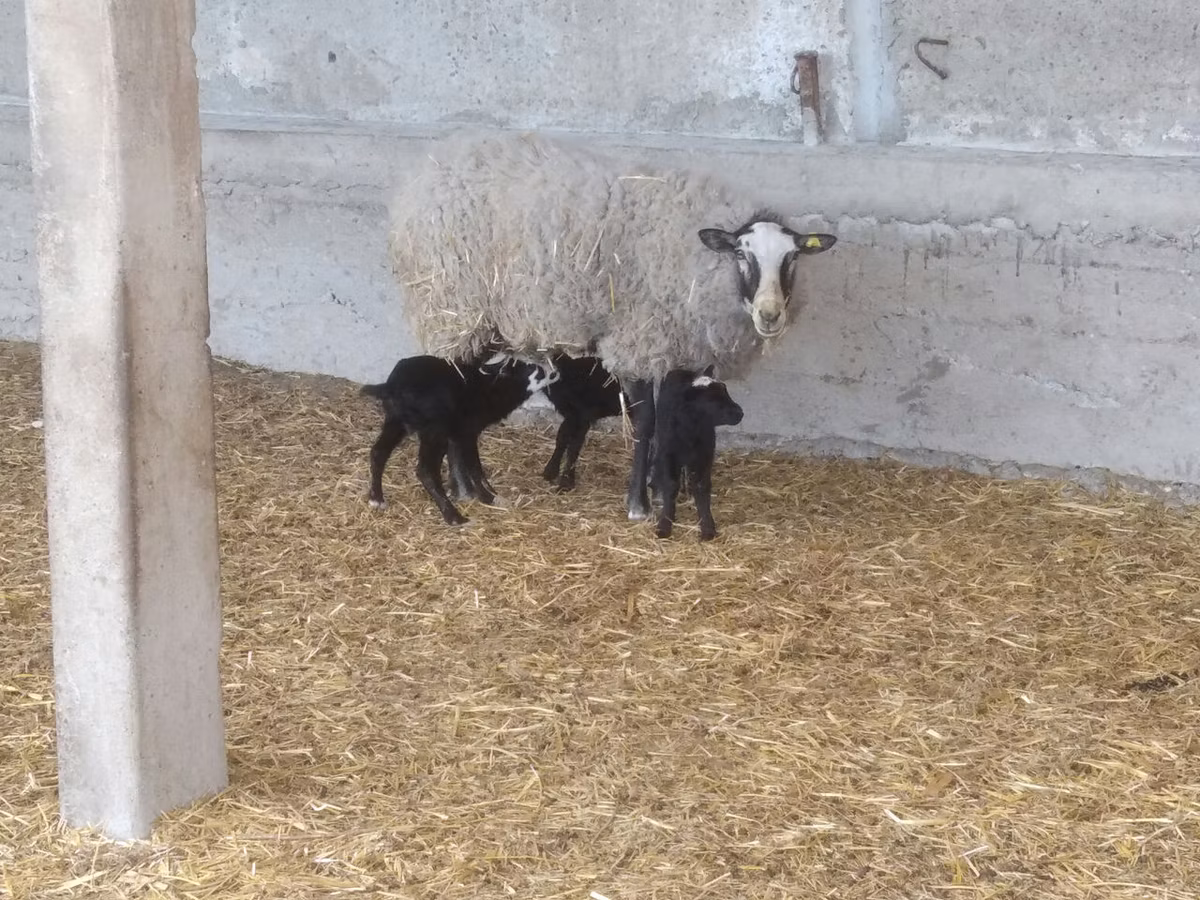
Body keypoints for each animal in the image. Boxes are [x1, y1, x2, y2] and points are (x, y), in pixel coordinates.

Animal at [360, 352, 558, 525]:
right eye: (533, 368)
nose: (555, 371)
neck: (488, 387)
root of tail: (391, 386)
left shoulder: (455, 435)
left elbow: (460, 463)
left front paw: (470, 493)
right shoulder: (466, 432)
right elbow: (474, 468)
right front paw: (489, 497)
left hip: (396, 420)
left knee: (378, 452)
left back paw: (377, 499)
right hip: (433, 430)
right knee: (426, 470)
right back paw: (454, 518)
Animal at [388, 129, 837, 521]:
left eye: (792, 258)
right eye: (742, 255)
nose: (770, 314)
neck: (695, 259)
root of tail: (435, 165)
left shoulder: (677, 349)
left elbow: (670, 414)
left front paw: (666, 485)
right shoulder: (637, 341)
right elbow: (646, 422)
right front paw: (639, 502)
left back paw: (468, 482)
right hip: (451, 310)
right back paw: (465, 486)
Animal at [652, 366, 744, 542]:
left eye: (725, 390)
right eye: (711, 400)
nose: (740, 413)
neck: (691, 429)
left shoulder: (705, 454)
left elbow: (701, 487)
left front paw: (707, 527)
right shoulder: (668, 453)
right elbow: (670, 484)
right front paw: (665, 524)